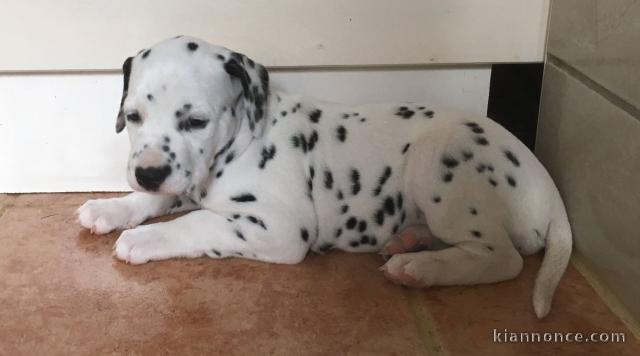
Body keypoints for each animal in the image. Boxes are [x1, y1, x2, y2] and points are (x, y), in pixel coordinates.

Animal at [75, 36, 568, 320]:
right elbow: (157, 200)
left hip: (441, 161)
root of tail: (547, 188)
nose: (148, 172)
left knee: (501, 258)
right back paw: (409, 241)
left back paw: (420, 267)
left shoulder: (276, 228)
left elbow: (195, 223)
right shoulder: (186, 181)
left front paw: (143, 239)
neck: (245, 136)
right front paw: (110, 207)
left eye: (195, 121)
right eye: (133, 116)